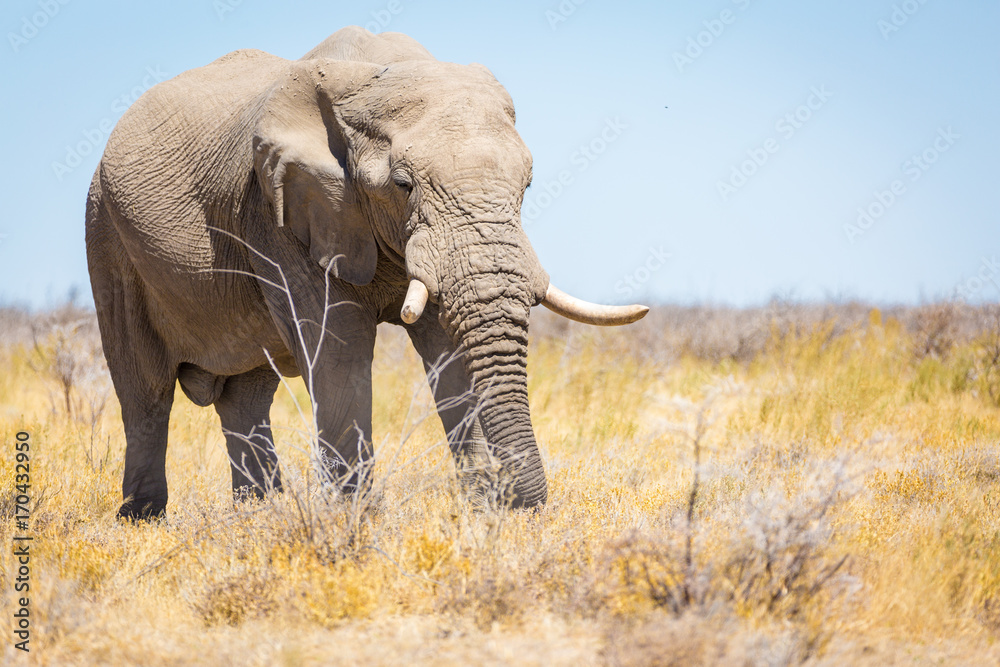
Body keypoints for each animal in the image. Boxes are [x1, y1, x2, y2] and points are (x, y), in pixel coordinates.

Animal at [86, 26, 647, 520]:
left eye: (528, 185)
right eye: (402, 184)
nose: (519, 502)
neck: (377, 73)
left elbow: (449, 350)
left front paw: (483, 511)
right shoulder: (280, 211)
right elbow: (339, 349)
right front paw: (356, 521)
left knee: (246, 396)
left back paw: (258, 516)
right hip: (107, 236)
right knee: (146, 392)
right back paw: (143, 518)